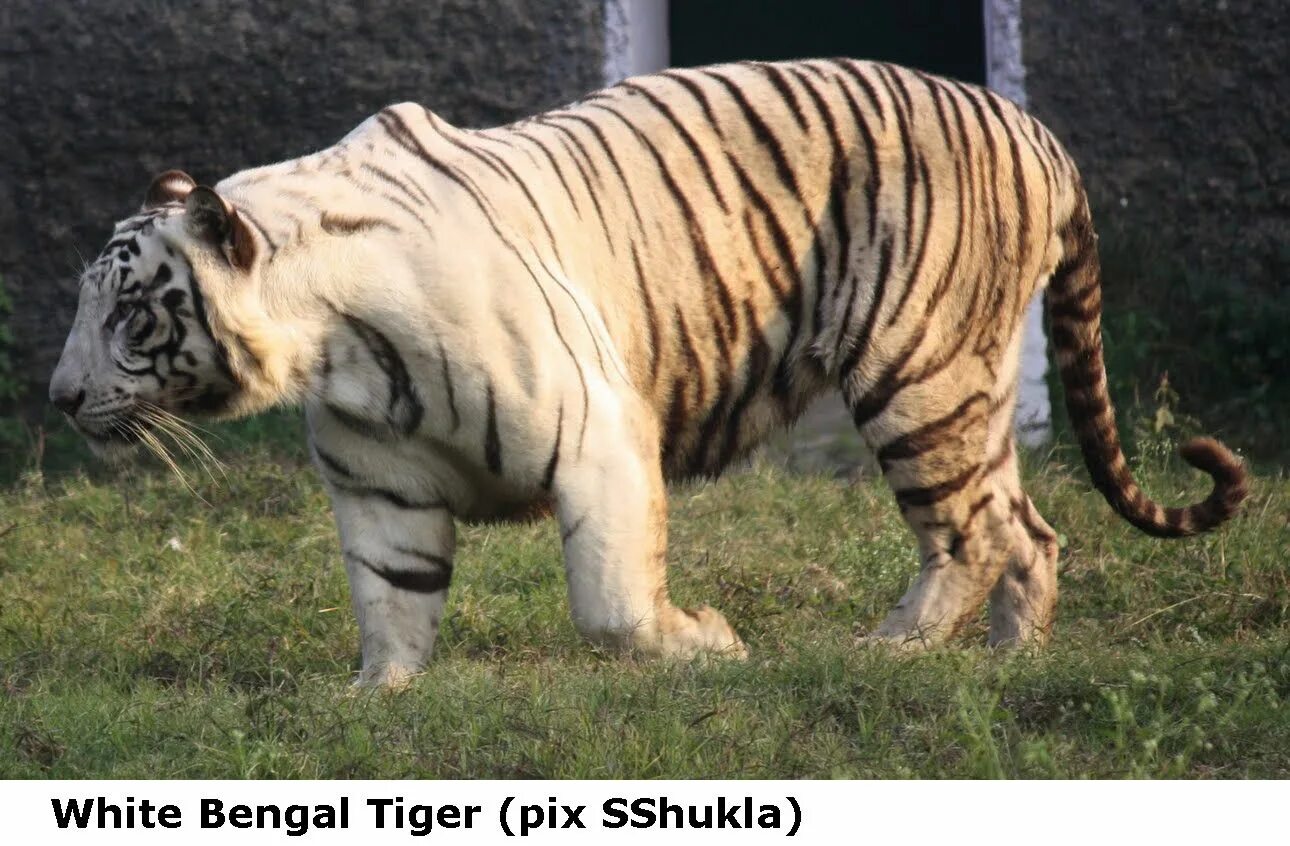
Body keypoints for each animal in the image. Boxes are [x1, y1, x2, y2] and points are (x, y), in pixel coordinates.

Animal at [49, 59, 1248, 686]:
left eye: (127, 308)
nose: (58, 398)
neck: (335, 347)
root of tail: (1035, 130)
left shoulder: (598, 437)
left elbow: (612, 605)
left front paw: (708, 645)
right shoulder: (382, 487)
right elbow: (392, 605)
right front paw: (374, 705)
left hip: (919, 373)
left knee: (969, 529)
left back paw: (890, 648)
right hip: (976, 381)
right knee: (1026, 526)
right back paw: (1006, 659)